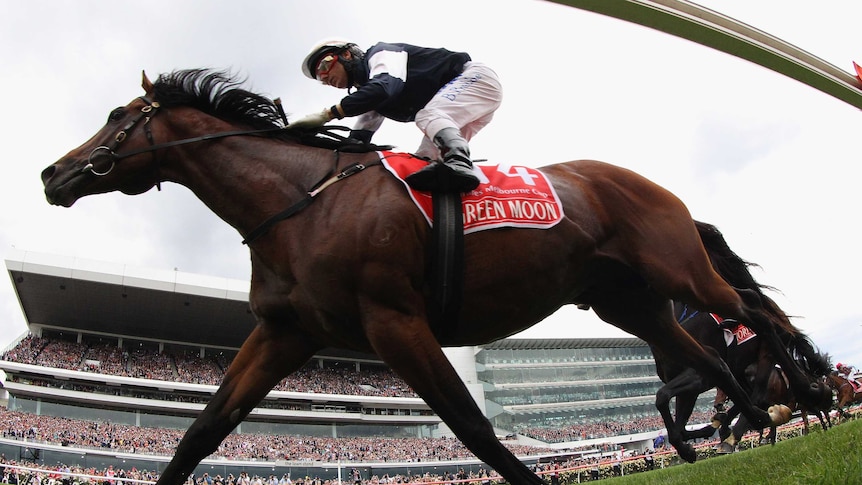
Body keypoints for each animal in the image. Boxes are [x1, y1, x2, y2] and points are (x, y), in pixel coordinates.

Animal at [656, 294, 832, 462]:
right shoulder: (688, 388)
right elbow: (679, 427)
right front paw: (691, 445)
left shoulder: (701, 375)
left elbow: (662, 396)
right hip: (740, 369)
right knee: (748, 396)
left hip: (766, 349)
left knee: (758, 394)